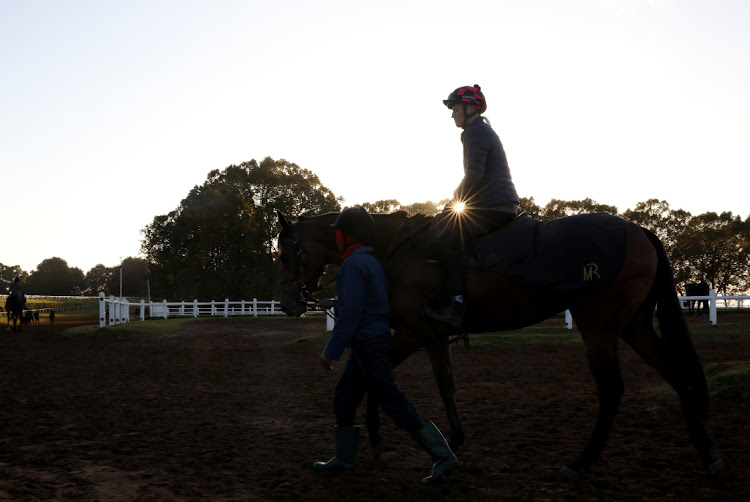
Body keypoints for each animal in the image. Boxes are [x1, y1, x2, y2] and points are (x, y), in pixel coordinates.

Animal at [280, 208, 724, 478]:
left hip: (599, 330)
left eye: (284, 253)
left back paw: (583, 461)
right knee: (675, 372)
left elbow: (375, 380)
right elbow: (445, 386)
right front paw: (452, 441)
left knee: (613, 390)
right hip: (633, 327)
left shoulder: (411, 335)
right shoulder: (433, 338)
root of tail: (638, 230)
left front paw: (374, 438)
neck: (397, 250)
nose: (288, 304)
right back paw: (706, 453)